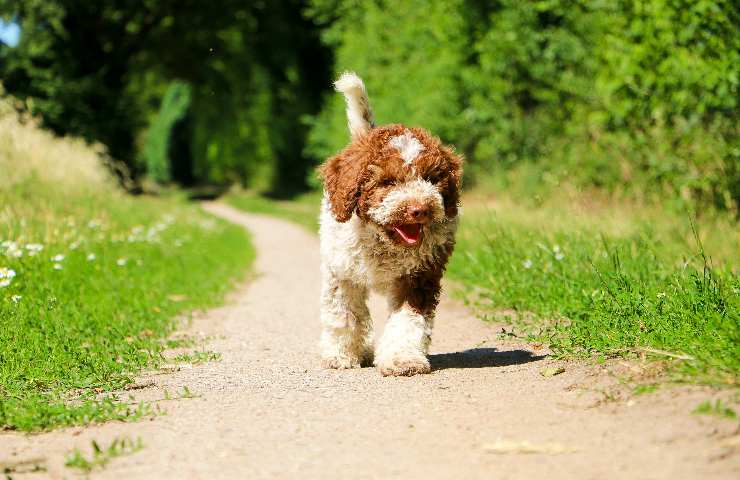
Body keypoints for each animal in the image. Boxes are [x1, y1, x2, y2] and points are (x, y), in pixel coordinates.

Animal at [318, 73, 462, 376]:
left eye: (431, 178)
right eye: (387, 182)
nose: (419, 209)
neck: (382, 240)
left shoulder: (420, 276)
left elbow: (408, 320)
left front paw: (402, 359)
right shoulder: (342, 272)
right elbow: (344, 315)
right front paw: (340, 355)